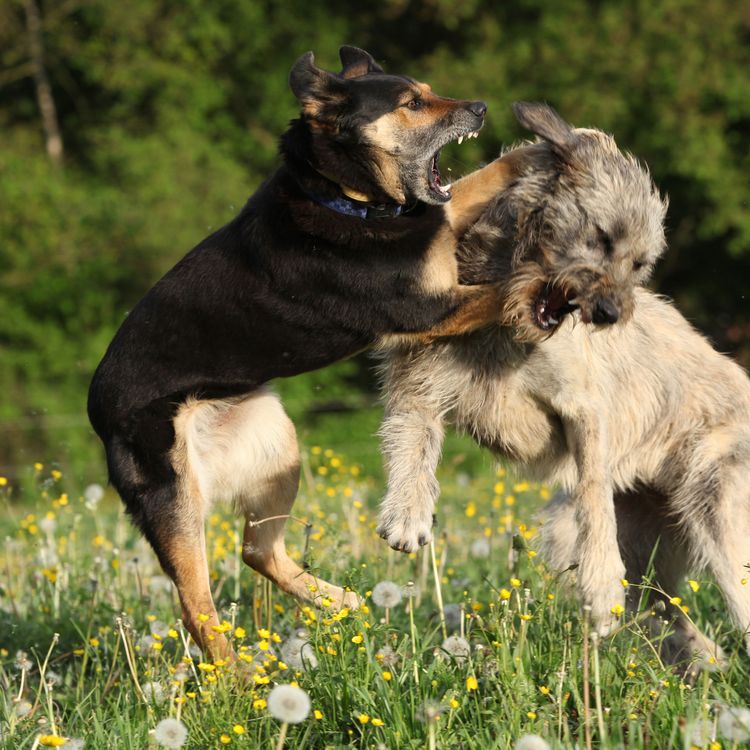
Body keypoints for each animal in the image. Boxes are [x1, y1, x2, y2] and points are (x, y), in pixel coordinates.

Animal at [88, 47, 520, 656]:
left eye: (430, 90)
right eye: (412, 103)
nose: (480, 107)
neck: (346, 199)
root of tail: (96, 408)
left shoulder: (437, 237)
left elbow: (485, 179)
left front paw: (565, 144)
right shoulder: (425, 310)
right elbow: (504, 290)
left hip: (276, 447)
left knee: (256, 551)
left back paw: (338, 603)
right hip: (172, 495)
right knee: (199, 610)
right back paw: (238, 676)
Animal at [382, 103, 750, 668]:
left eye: (639, 263)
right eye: (602, 237)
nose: (611, 314)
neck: (504, 320)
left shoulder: (584, 410)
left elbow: (595, 496)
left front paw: (598, 587)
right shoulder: (419, 381)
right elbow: (413, 440)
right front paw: (408, 511)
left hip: (721, 518)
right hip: (591, 537)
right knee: (668, 614)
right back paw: (702, 666)